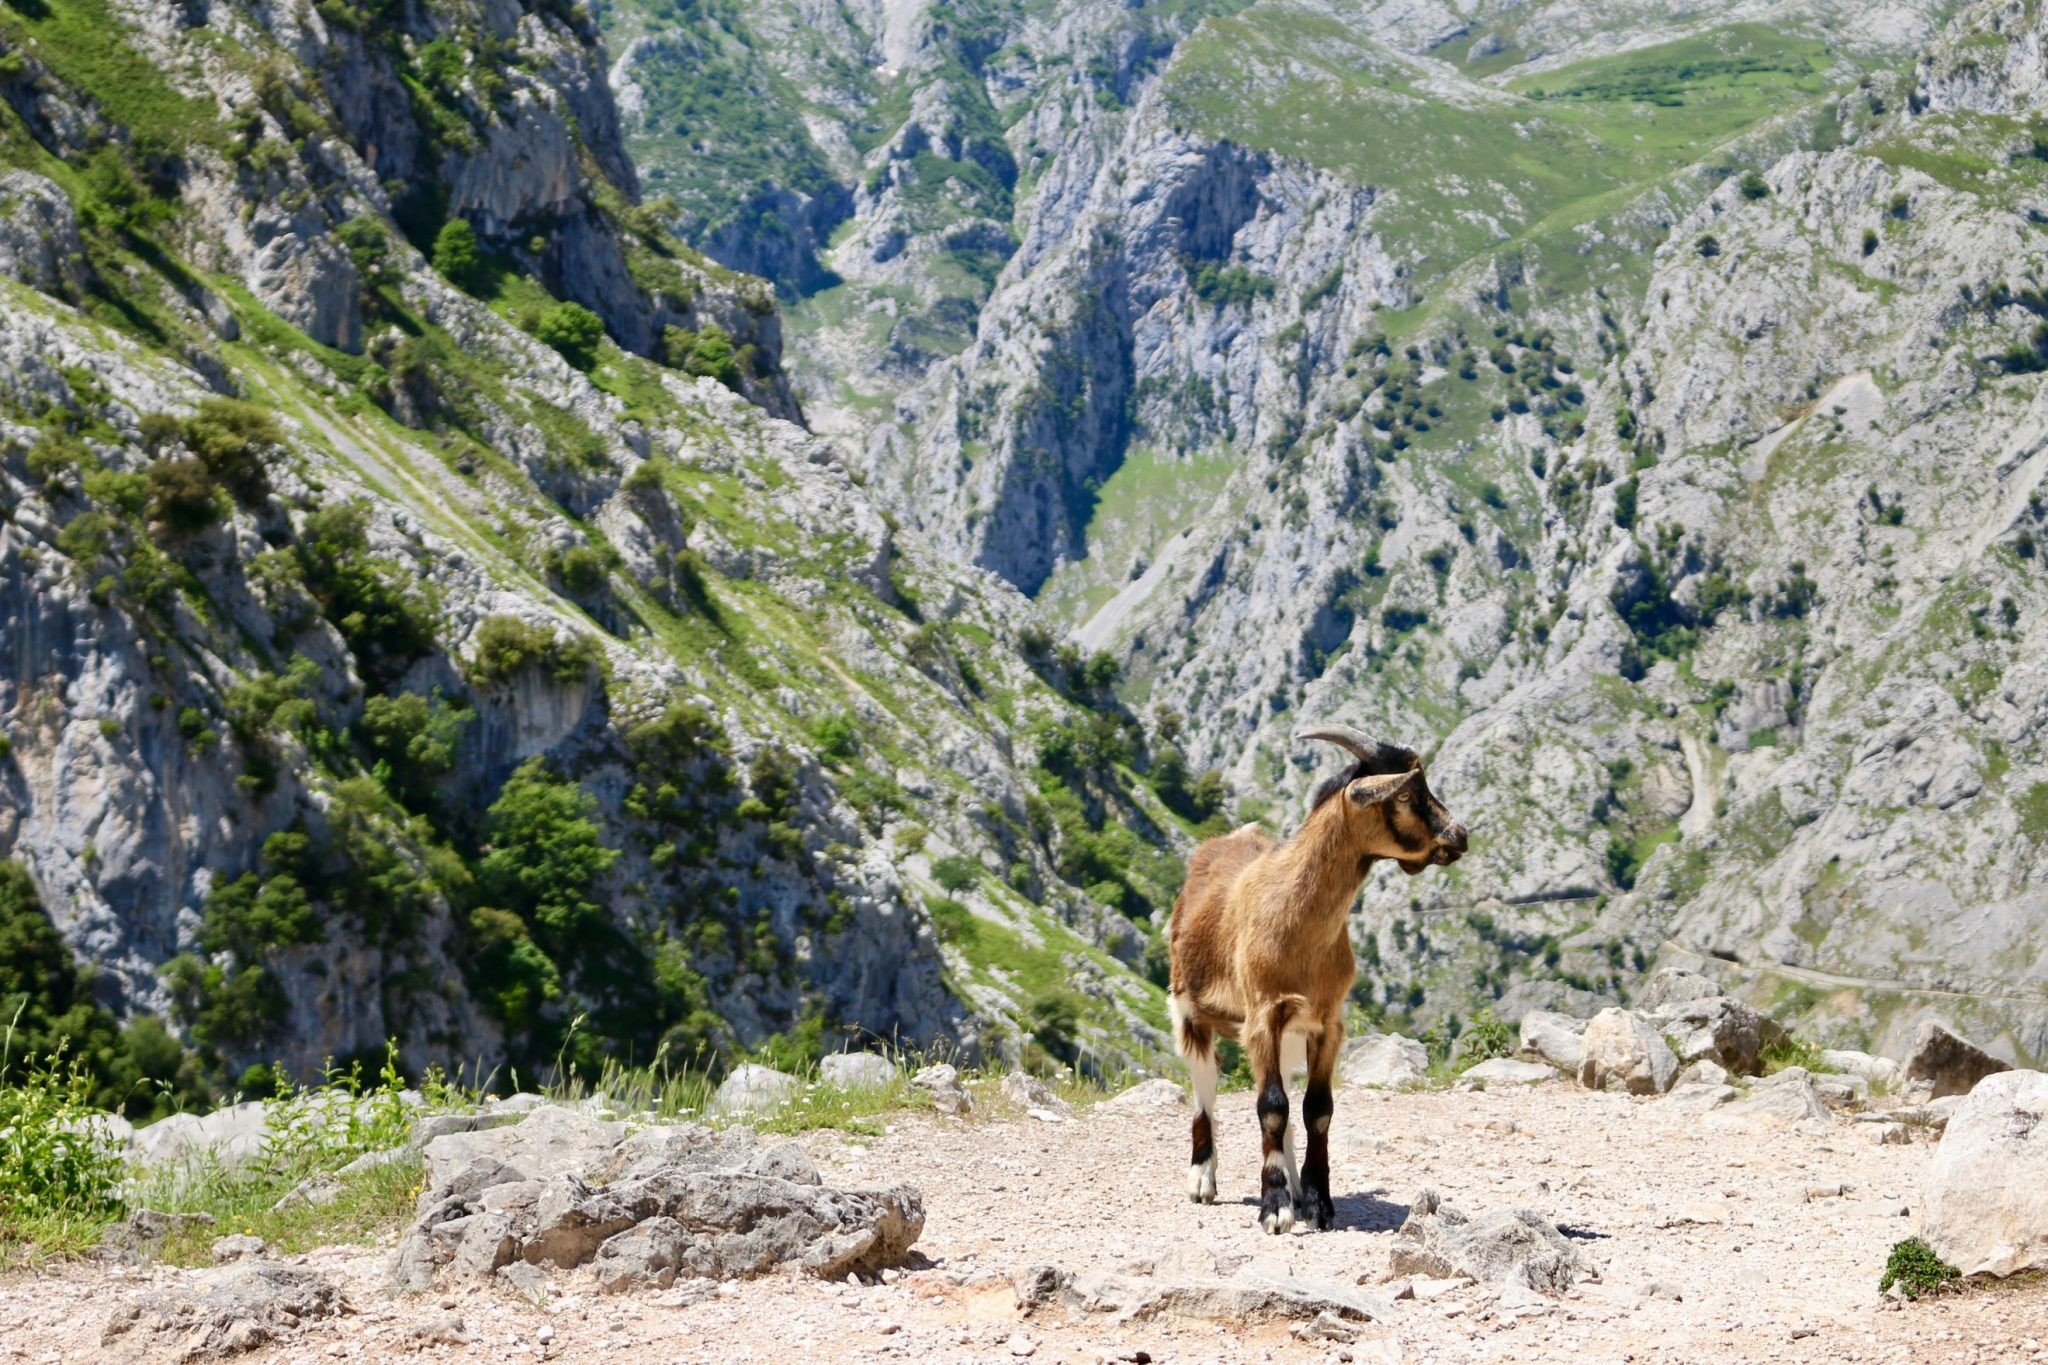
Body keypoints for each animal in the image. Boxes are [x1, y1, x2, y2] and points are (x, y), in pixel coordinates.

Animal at [1163, 724, 1466, 1236]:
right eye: (1407, 793)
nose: (1459, 835)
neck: (1296, 919)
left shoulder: (1327, 1021)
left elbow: (1315, 1109)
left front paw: (1318, 1201)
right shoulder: (1261, 1016)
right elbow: (1270, 1106)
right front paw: (1275, 1206)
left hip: (1287, 1031)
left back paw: (1295, 1185)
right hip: (1190, 1012)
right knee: (1206, 1088)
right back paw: (1203, 1179)